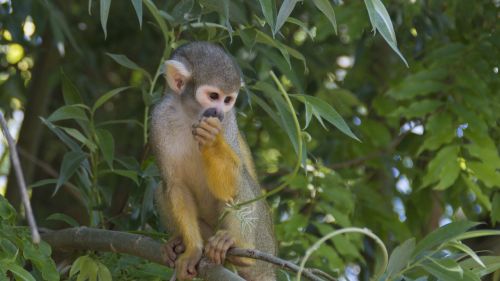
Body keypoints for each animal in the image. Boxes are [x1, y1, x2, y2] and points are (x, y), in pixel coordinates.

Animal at [152, 42, 278, 280]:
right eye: (213, 96)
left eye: (228, 100)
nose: (218, 112)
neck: (191, 115)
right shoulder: (159, 119)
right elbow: (176, 185)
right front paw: (193, 250)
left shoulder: (229, 121)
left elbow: (230, 185)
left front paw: (212, 139)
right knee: (162, 187)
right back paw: (178, 244)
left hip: (263, 244)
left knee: (241, 181)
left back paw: (239, 249)